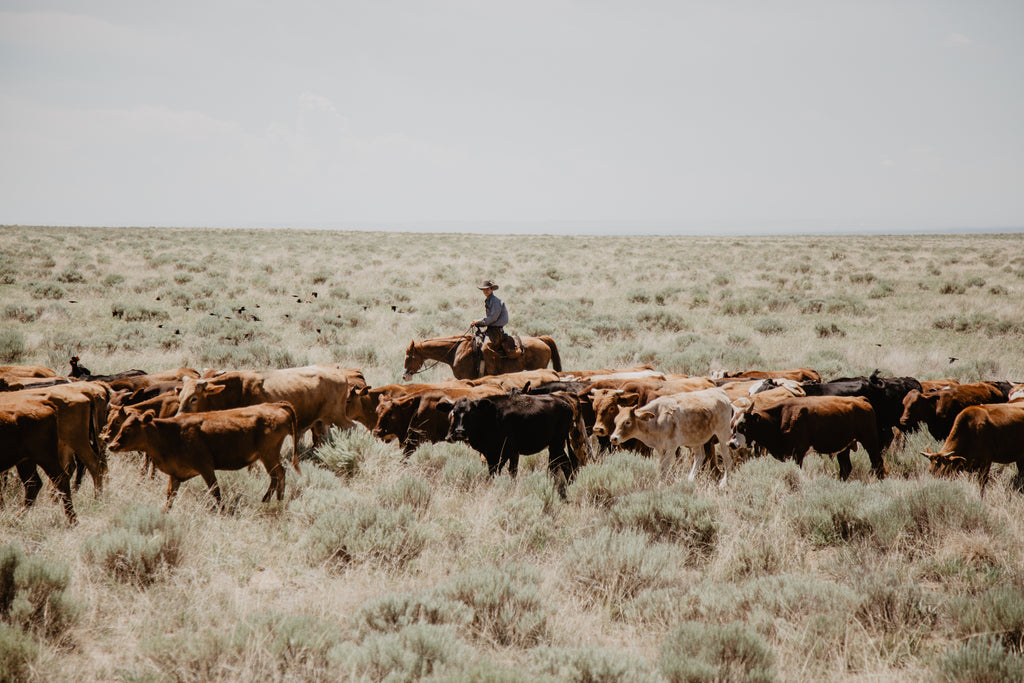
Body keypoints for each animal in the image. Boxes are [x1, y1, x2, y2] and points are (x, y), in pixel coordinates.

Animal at [109, 403, 299, 509]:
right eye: (122, 425)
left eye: (128, 428)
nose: (112, 446)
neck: (171, 434)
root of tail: (276, 406)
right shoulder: (175, 474)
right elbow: (170, 496)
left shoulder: (206, 467)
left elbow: (215, 492)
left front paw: (223, 511)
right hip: (268, 456)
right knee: (276, 476)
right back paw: (271, 501)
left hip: (269, 454)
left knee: (279, 474)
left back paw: (276, 502)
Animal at [440, 389, 593, 491]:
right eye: (454, 412)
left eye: (470, 413)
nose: (459, 431)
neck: (491, 418)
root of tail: (564, 400)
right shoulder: (492, 455)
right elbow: (493, 472)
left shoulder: (512, 452)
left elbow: (512, 472)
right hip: (555, 445)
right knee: (563, 464)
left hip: (557, 444)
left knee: (560, 464)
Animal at [606, 387, 737, 483]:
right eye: (616, 421)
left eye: (628, 422)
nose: (613, 438)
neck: (657, 418)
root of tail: (719, 392)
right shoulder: (660, 448)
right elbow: (660, 467)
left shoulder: (671, 447)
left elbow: (664, 467)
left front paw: (660, 484)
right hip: (696, 440)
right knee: (700, 456)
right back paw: (690, 480)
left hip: (723, 435)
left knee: (727, 457)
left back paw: (724, 482)